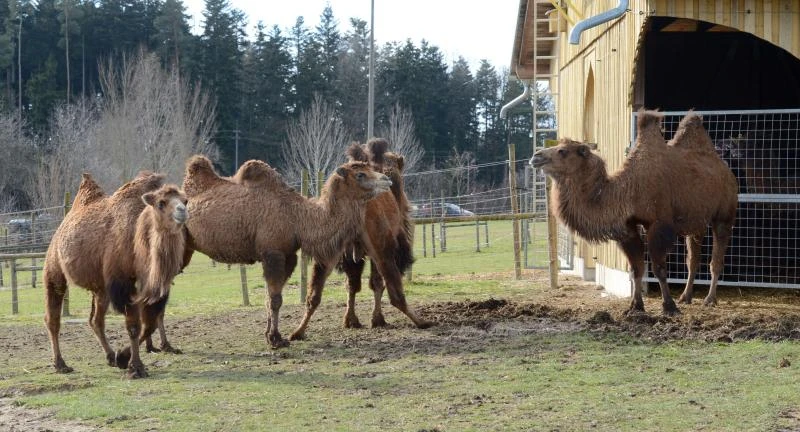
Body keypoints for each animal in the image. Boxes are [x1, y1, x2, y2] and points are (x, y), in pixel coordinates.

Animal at [43, 173, 189, 378]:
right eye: (161, 203)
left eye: (185, 200)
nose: (182, 211)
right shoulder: (124, 285)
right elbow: (134, 326)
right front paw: (135, 367)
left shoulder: (152, 288)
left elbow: (150, 323)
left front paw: (123, 357)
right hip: (54, 267)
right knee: (53, 317)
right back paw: (61, 364)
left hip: (101, 288)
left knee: (96, 320)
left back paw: (110, 356)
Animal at [182, 155, 392, 348]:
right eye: (360, 174)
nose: (387, 180)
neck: (297, 219)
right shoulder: (273, 253)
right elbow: (276, 299)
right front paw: (276, 339)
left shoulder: (288, 255)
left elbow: (269, 298)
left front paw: (269, 335)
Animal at [289, 139, 433, 340]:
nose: (386, 181)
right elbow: (376, 283)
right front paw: (377, 319)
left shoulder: (349, 253)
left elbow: (354, 285)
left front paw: (352, 321)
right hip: (382, 247)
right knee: (393, 291)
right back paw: (421, 322)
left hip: (333, 249)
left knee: (315, 294)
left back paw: (297, 332)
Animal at [530, 110, 738, 315]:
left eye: (562, 151)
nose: (536, 157)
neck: (630, 189)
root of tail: (726, 170)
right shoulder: (628, 227)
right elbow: (636, 268)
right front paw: (635, 306)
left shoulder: (658, 224)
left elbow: (658, 268)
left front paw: (669, 306)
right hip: (696, 221)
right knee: (693, 258)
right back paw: (686, 297)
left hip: (724, 214)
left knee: (716, 259)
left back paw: (710, 299)